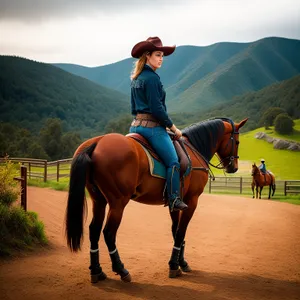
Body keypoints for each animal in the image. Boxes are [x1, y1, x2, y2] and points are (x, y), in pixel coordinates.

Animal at [64, 116, 247, 282]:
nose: (233, 167)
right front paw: (174, 265)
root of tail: (98, 141)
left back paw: (97, 271)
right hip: (118, 203)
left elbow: (175, 231)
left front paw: (181, 263)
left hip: (99, 201)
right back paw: (121, 270)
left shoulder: (176, 203)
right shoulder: (192, 201)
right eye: (237, 142)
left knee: (94, 230)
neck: (194, 150)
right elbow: (181, 232)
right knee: (109, 233)